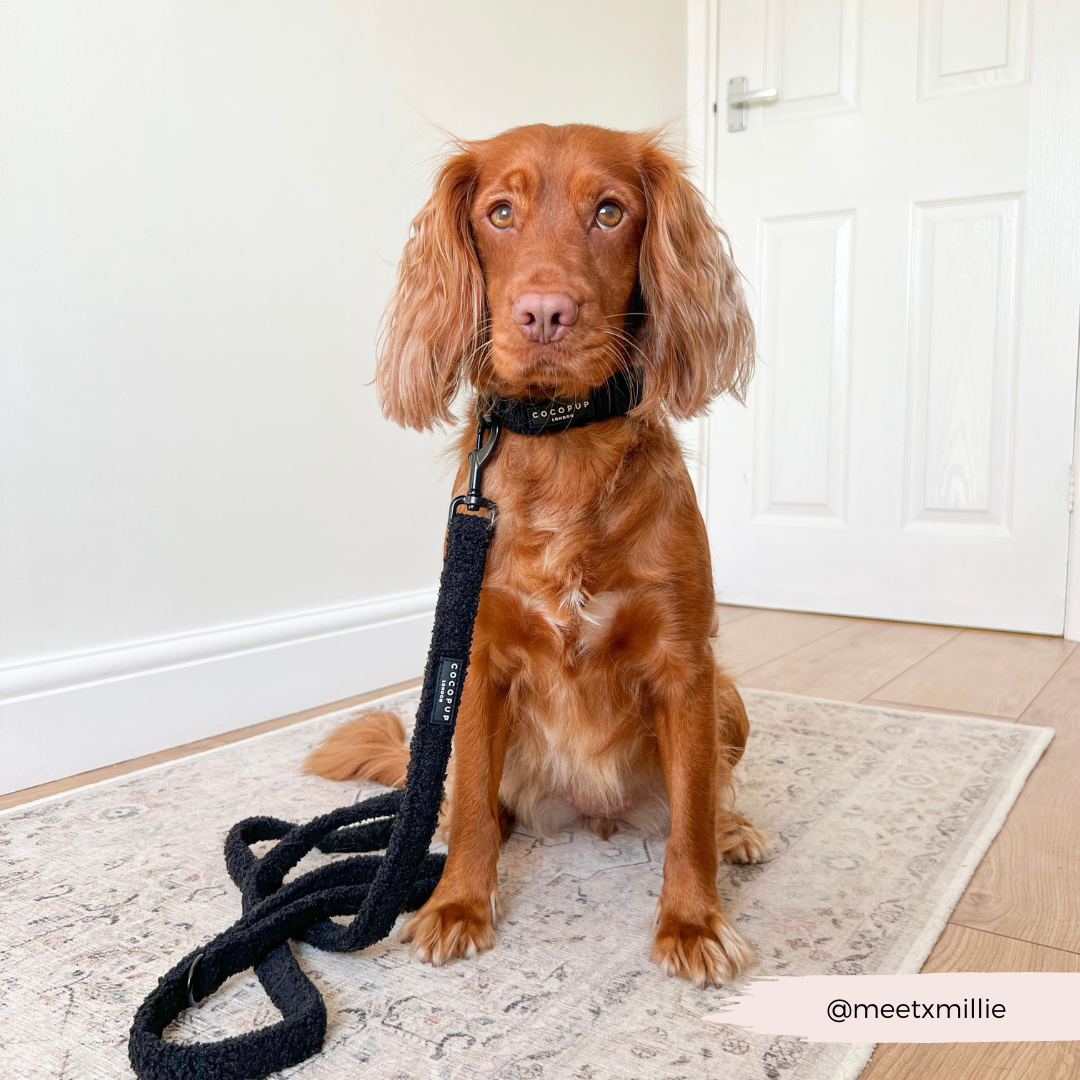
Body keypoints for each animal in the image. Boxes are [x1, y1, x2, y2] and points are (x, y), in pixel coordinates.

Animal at [308, 124, 773, 989]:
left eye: (610, 211)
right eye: (499, 212)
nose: (545, 312)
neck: (564, 450)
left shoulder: (686, 666)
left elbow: (691, 815)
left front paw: (693, 921)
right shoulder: (477, 659)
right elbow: (471, 816)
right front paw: (459, 905)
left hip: (729, 700)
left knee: (707, 796)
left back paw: (737, 830)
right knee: (467, 803)